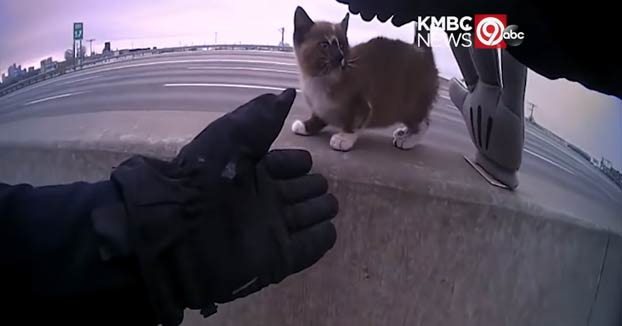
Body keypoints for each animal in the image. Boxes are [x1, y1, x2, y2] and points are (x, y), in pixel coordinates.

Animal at [292, 6, 438, 152]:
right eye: (324, 45)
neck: (322, 79)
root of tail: (421, 50)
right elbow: (319, 116)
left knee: (424, 122)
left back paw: (409, 139)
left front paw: (344, 138)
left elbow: (355, 121)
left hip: (409, 102)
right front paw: (306, 126)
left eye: (342, 45)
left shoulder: (362, 104)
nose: (340, 57)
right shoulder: (320, 106)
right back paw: (404, 132)